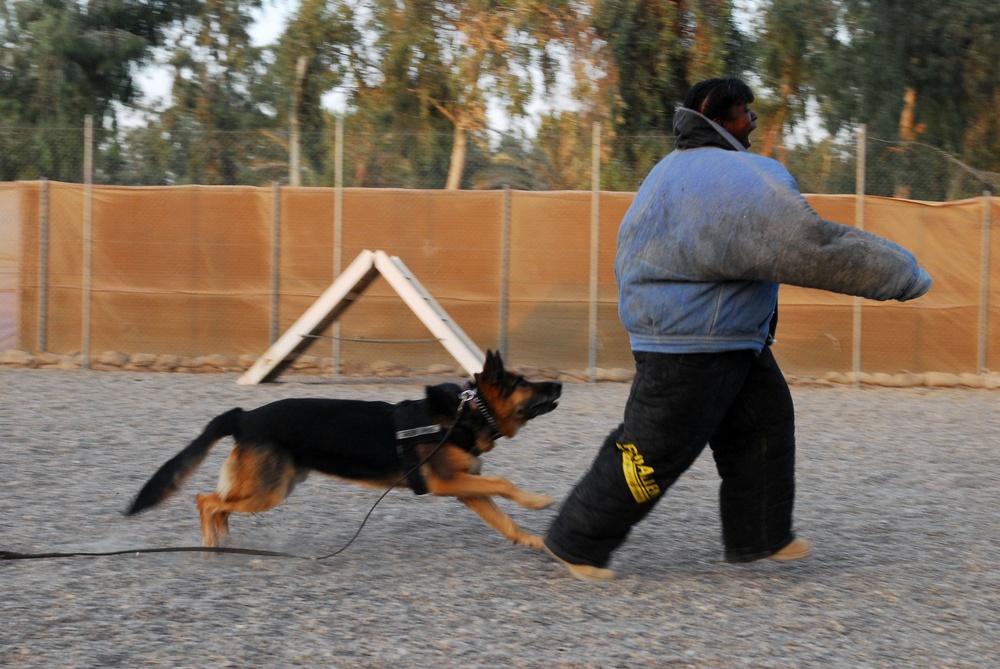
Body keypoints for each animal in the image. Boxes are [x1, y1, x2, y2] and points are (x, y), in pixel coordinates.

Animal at [124, 350, 560, 548]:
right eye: (522, 382)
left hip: (269, 487)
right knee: (205, 501)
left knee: (218, 504)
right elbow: (504, 483)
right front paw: (538, 500)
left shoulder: (466, 489)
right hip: (268, 491)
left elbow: (502, 517)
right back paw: (212, 544)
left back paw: (224, 541)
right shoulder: (447, 482)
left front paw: (533, 541)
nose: (558, 384)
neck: (467, 411)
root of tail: (245, 416)